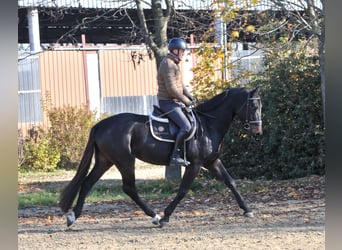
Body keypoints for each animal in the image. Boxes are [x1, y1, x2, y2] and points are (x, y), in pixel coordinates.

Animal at [59, 87, 262, 228]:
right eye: (253, 106)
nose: (258, 132)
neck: (209, 124)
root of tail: (101, 124)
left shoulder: (212, 162)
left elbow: (230, 182)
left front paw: (247, 210)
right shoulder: (195, 164)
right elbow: (182, 190)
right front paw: (166, 216)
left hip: (105, 161)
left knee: (87, 183)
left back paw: (73, 217)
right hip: (125, 161)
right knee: (129, 188)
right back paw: (155, 217)